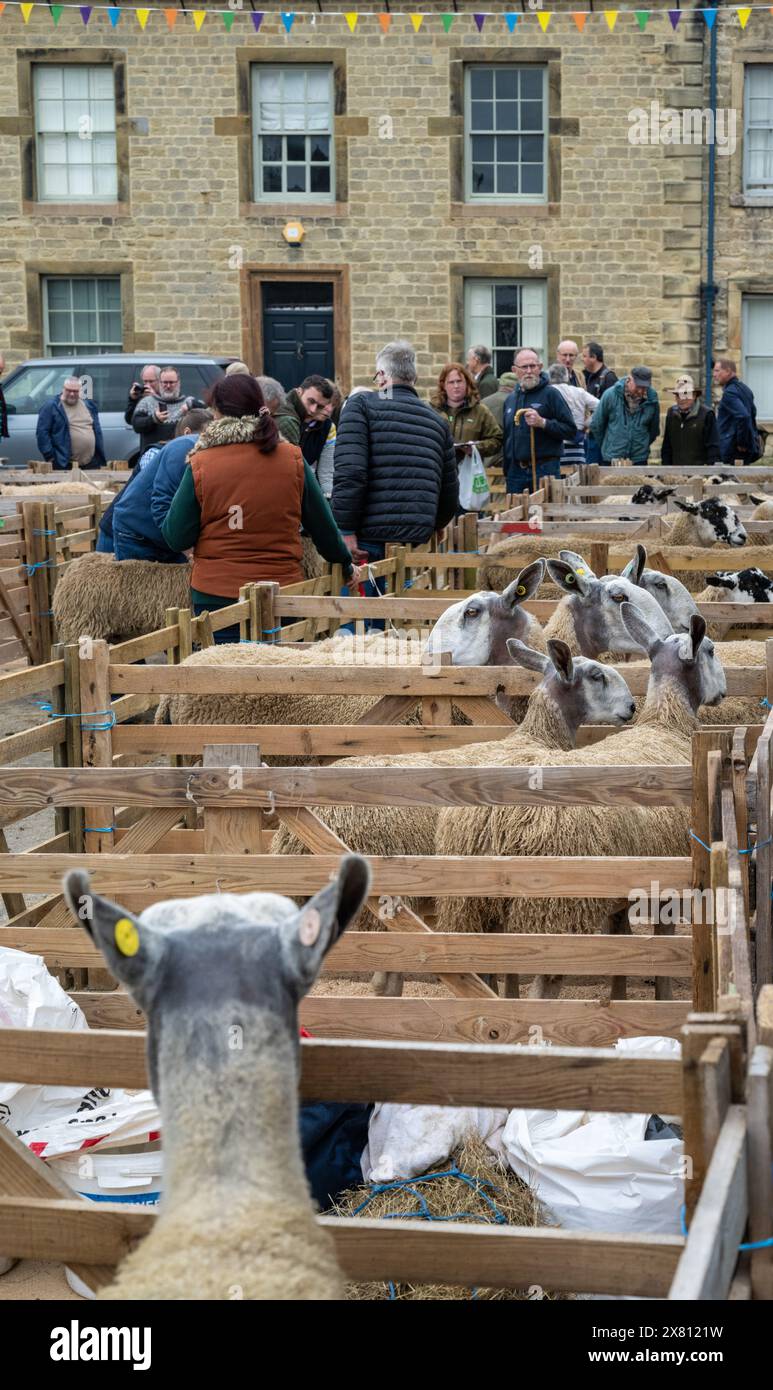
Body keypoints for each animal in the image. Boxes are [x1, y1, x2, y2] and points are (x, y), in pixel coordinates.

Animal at [436, 600, 728, 1000]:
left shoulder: (619, 891)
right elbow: (663, 946)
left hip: (471, 909)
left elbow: (620, 944)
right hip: (552, 910)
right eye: (711, 651)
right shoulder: (667, 883)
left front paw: (617, 998)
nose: (724, 691)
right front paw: (663, 997)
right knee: (542, 985)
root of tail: (493, 823)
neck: (666, 722)